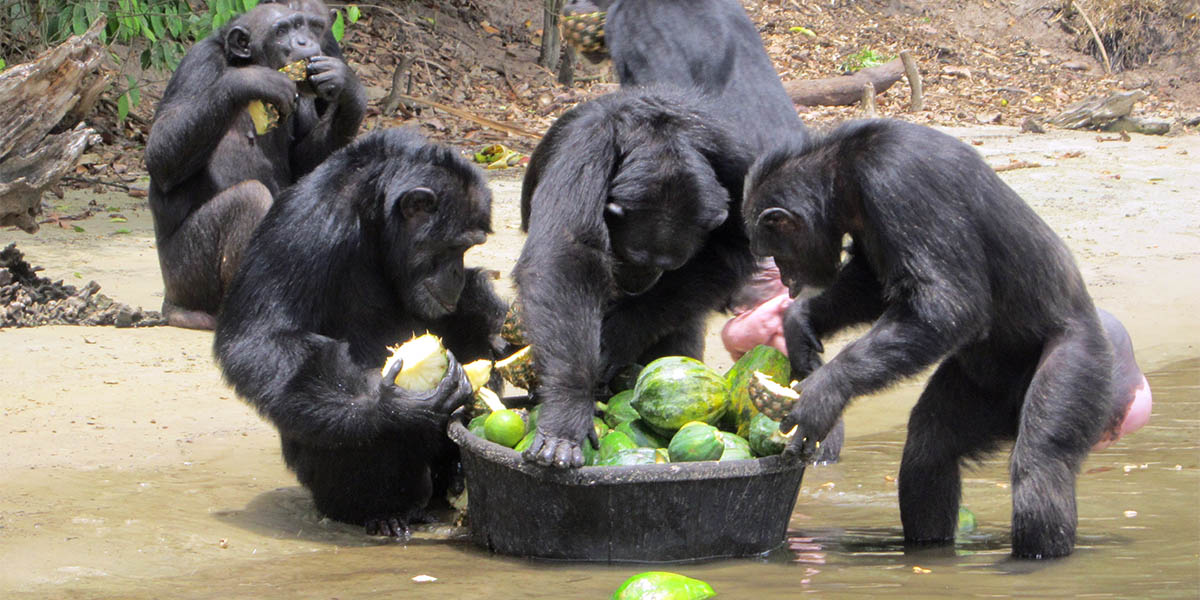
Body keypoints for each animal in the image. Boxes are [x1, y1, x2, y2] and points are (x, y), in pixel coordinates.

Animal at [144, 0, 362, 331]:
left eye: (307, 27)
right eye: (281, 31)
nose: (304, 42)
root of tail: (170, 302)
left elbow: (306, 161)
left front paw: (347, 87)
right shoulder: (197, 65)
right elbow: (161, 154)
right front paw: (250, 81)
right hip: (184, 276)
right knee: (248, 200)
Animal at [213, 127, 504, 540]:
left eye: (468, 249)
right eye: (454, 246)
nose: (457, 273)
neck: (374, 216)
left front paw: (487, 317)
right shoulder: (307, 226)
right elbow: (263, 337)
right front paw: (389, 403)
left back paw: (456, 475)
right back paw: (385, 511)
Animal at [516, 87, 758, 468]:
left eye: (670, 265)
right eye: (634, 255)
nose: (642, 277)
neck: (661, 135)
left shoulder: (734, 159)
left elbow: (735, 247)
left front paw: (620, 334)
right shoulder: (583, 150)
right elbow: (566, 255)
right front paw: (567, 411)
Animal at [744, 119, 1118, 559]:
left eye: (778, 254)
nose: (786, 281)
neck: (844, 176)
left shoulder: (898, 181)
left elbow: (947, 304)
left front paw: (825, 391)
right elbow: (872, 283)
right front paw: (800, 323)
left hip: (1083, 358)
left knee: (1041, 463)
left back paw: (1032, 559)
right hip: (983, 394)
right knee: (931, 446)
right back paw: (929, 551)